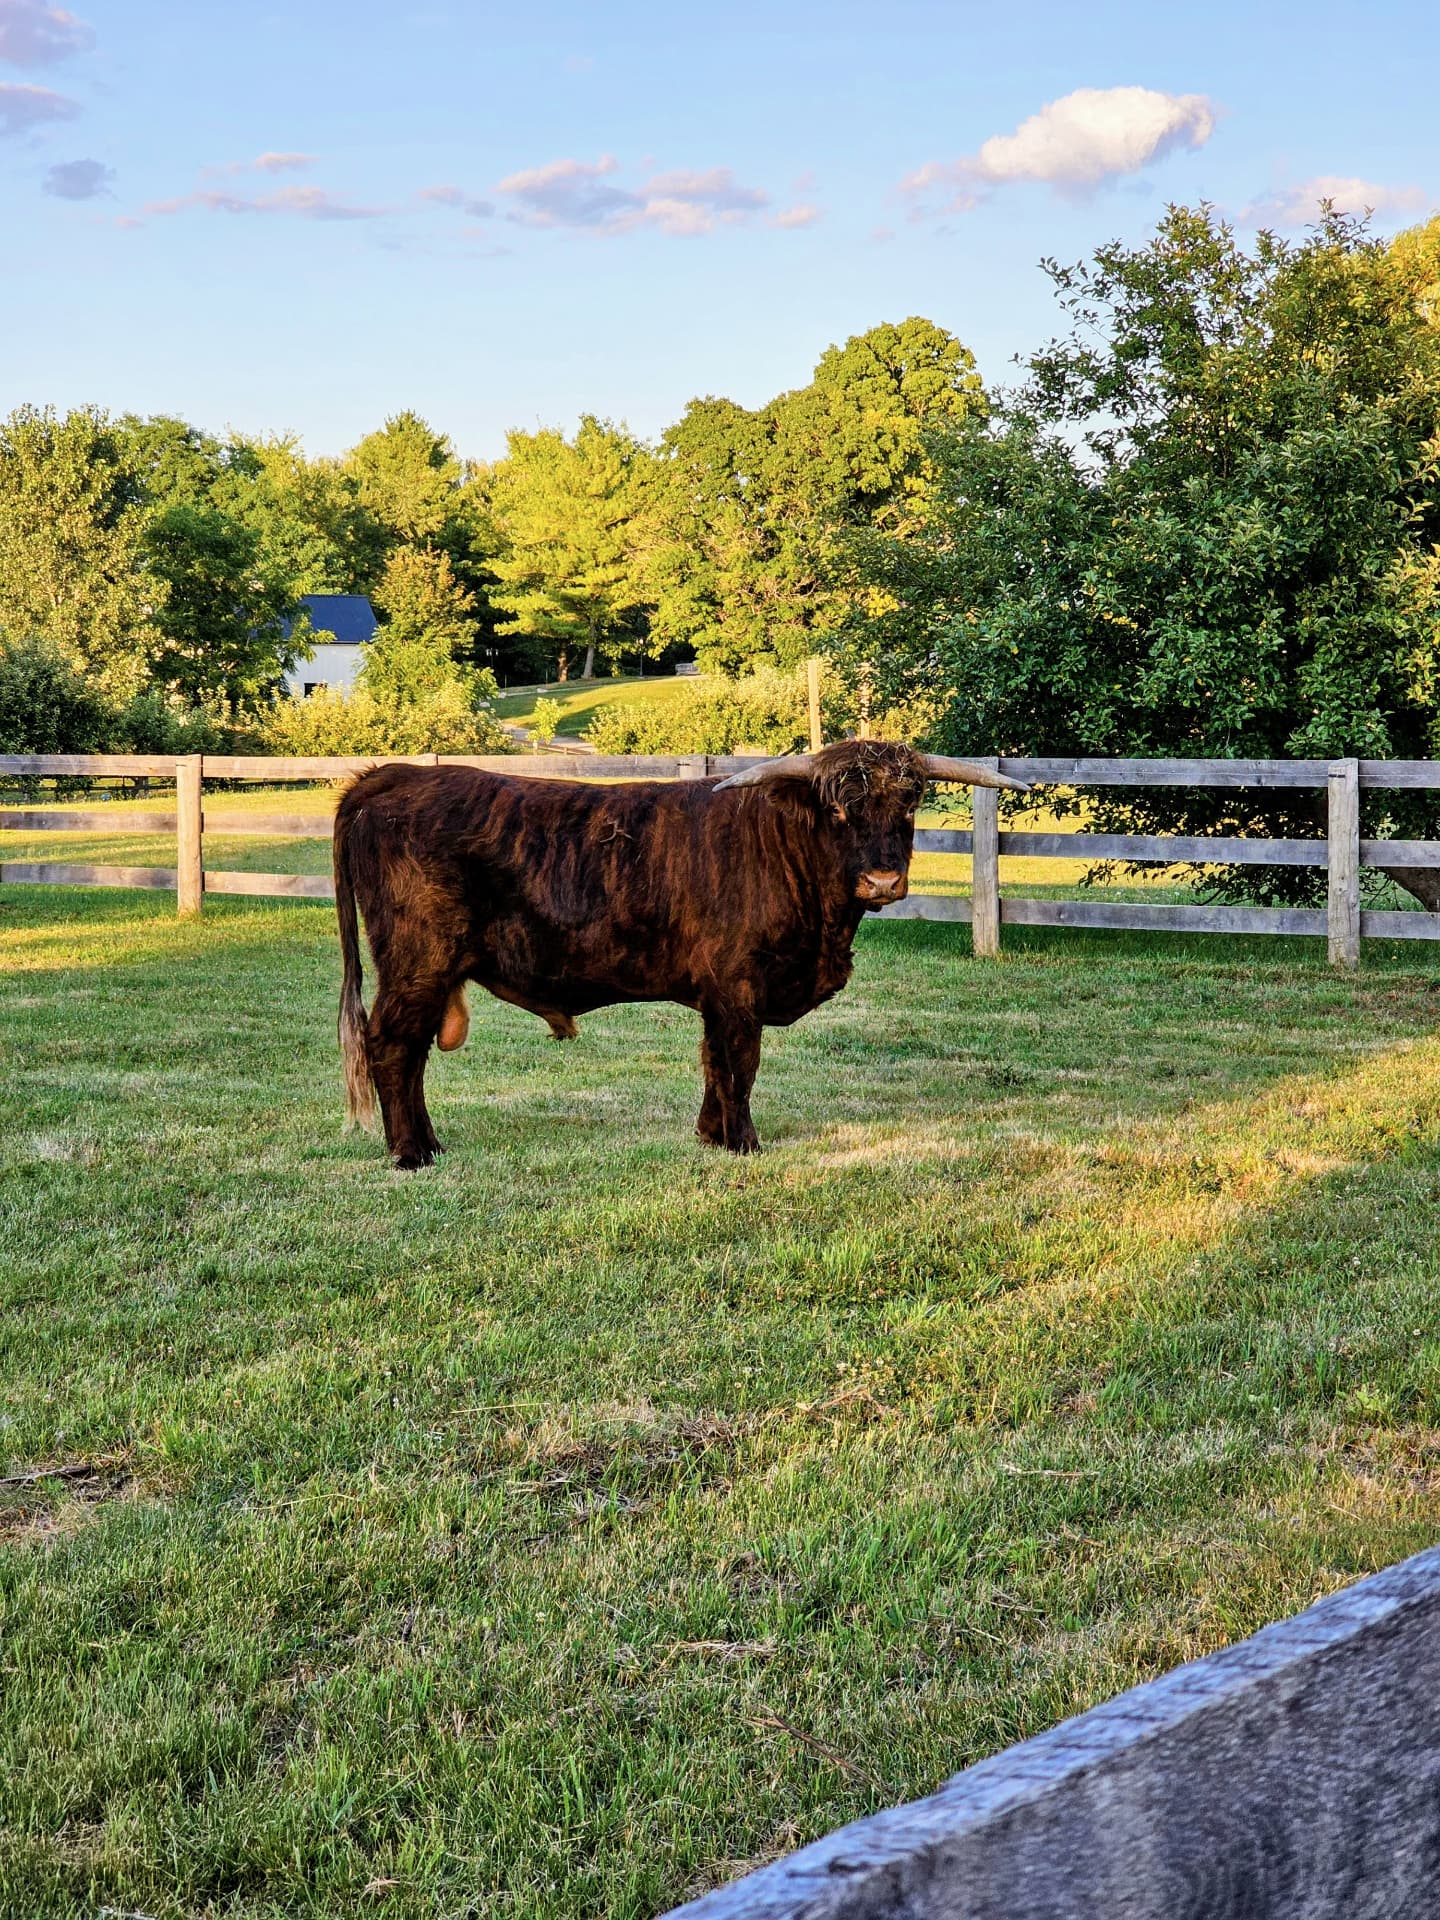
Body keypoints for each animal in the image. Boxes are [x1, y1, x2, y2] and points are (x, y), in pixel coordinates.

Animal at [332, 740, 1027, 1167]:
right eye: (837, 808)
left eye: (908, 804)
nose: (883, 881)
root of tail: (396, 775)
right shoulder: (738, 986)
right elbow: (739, 1064)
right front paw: (742, 1142)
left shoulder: (720, 994)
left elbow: (714, 1063)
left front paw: (710, 1135)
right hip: (418, 963)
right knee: (391, 1047)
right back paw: (411, 1153)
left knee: (411, 1055)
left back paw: (429, 1144)